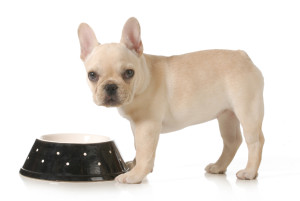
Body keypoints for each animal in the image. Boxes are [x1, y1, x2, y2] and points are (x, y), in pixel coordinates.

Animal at [78, 17, 264, 184]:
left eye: (129, 73)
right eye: (92, 75)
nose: (110, 86)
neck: (144, 78)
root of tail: (242, 55)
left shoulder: (147, 125)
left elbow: (144, 151)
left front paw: (136, 175)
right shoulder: (136, 126)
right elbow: (138, 147)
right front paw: (136, 166)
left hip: (247, 110)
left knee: (255, 141)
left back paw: (249, 172)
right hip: (226, 115)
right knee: (232, 141)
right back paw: (219, 166)